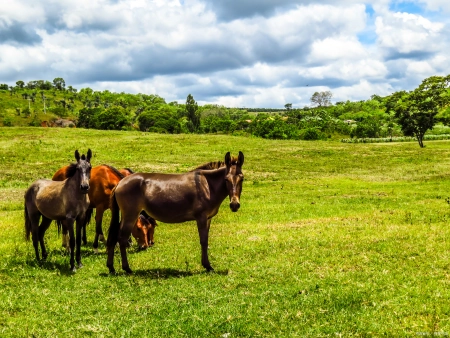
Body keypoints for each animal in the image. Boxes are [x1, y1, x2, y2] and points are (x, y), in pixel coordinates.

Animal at [107, 152, 244, 274]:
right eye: (226, 179)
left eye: (242, 178)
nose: (234, 205)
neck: (207, 186)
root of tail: (120, 183)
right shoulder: (201, 218)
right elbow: (204, 241)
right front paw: (208, 266)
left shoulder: (208, 218)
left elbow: (206, 241)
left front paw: (207, 265)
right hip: (130, 215)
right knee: (122, 238)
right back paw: (127, 269)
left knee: (114, 237)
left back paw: (111, 268)